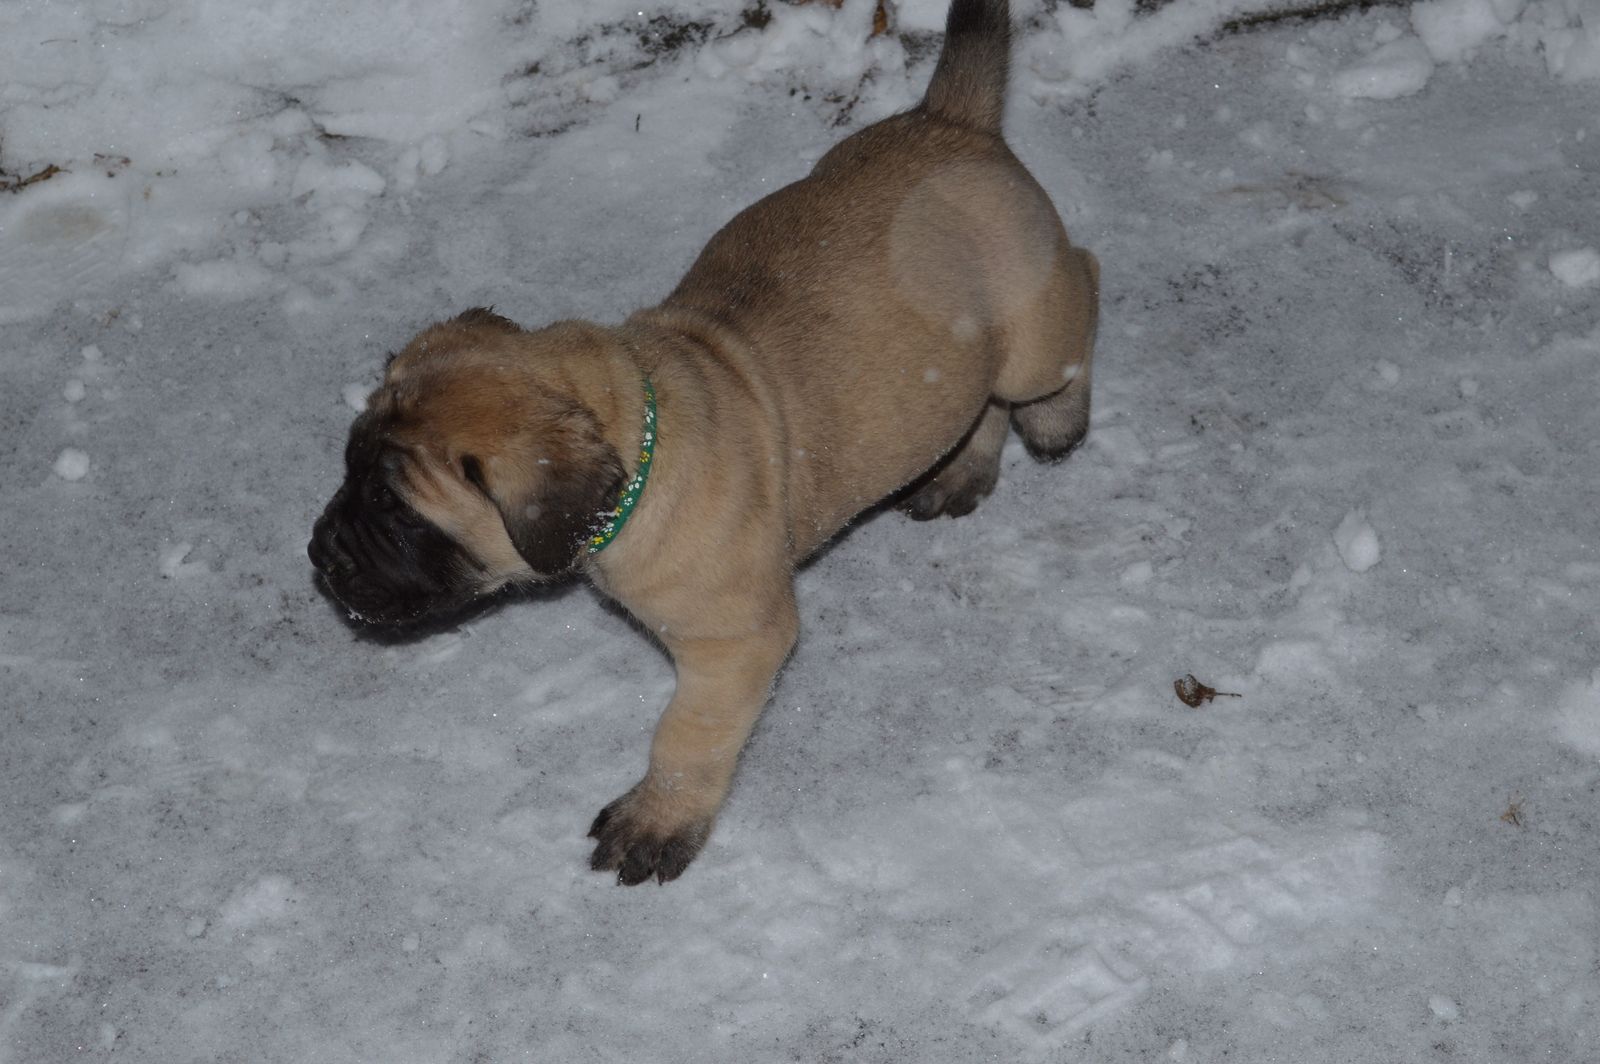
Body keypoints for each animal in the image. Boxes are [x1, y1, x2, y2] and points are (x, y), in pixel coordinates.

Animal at [308, 0, 1098, 885]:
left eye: (399, 515)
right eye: (347, 470)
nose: (320, 553)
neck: (639, 436)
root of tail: (953, 122)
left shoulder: (734, 644)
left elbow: (686, 735)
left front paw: (658, 820)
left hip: (1036, 328)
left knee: (1077, 295)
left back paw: (1057, 419)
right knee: (980, 395)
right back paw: (964, 468)